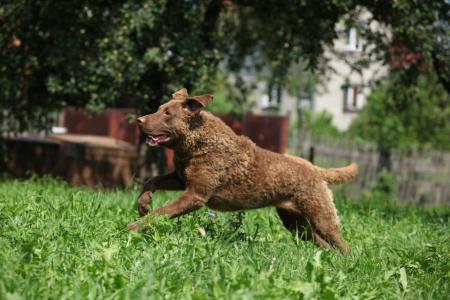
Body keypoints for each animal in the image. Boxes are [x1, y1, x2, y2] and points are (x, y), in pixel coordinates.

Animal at [128, 88, 356, 252]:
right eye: (159, 108)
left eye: (167, 113)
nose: (139, 120)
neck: (198, 142)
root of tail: (317, 170)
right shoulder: (181, 178)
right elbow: (152, 180)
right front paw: (143, 204)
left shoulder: (195, 195)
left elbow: (161, 212)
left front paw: (133, 228)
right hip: (294, 222)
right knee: (323, 244)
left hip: (321, 217)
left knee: (343, 245)